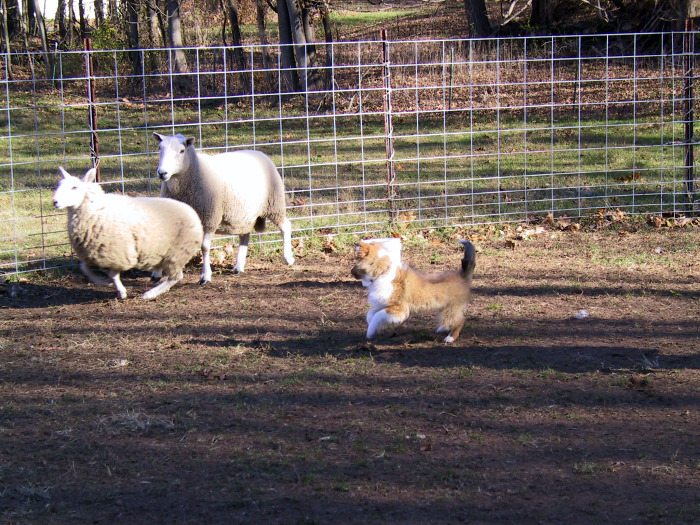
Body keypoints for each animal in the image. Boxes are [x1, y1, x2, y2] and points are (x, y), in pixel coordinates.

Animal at [54, 166, 202, 300]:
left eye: (74, 187)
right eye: (59, 185)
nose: (55, 201)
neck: (94, 209)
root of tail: (193, 213)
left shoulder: (117, 252)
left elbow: (113, 275)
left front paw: (121, 291)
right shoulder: (94, 251)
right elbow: (84, 268)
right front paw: (103, 282)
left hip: (178, 251)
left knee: (176, 277)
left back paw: (150, 294)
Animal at [153, 133, 296, 284]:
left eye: (181, 151)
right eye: (159, 148)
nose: (162, 172)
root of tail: (259, 152)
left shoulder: (209, 218)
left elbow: (205, 247)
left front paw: (205, 275)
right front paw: (156, 274)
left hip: (274, 205)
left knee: (285, 226)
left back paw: (288, 257)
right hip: (243, 214)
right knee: (244, 235)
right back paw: (239, 266)